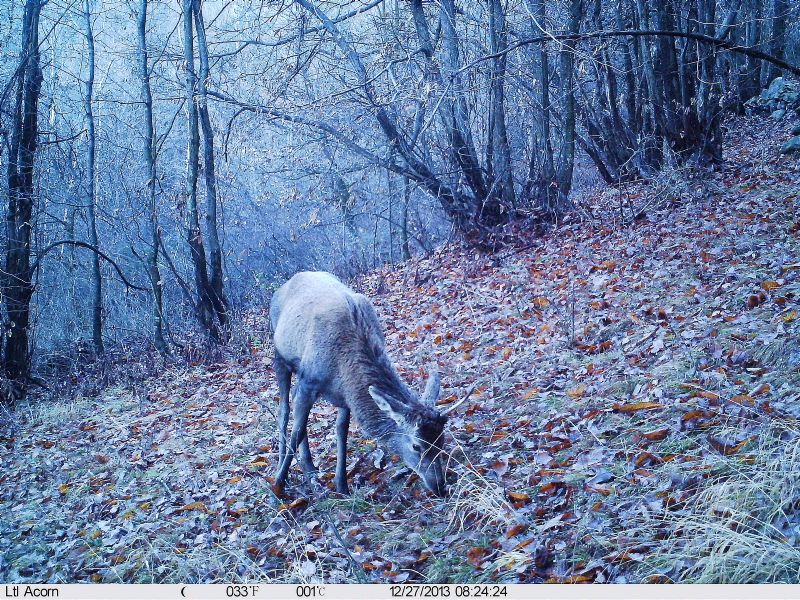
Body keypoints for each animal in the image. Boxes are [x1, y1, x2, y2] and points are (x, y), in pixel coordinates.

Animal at [272, 272, 466, 496]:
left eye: (441, 441)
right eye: (416, 446)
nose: (440, 486)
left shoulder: (345, 395)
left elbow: (341, 432)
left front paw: (342, 485)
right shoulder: (309, 381)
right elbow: (297, 431)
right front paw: (278, 485)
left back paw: (309, 468)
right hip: (280, 357)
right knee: (284, 411)